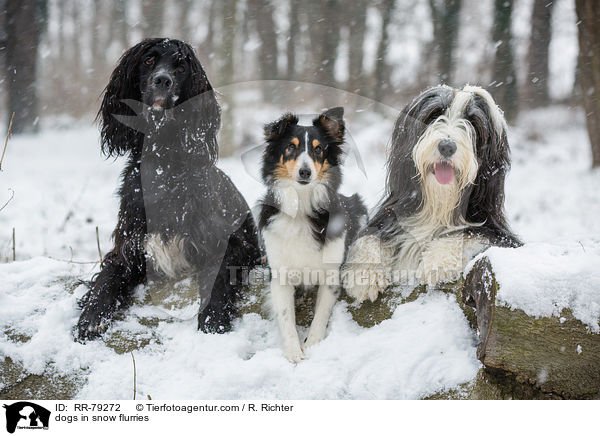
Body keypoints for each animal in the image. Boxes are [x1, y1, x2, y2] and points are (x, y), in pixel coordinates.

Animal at [76, 37, 262, 338]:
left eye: (182, 67)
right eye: (149, 60)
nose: (163, 80)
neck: (163, 162)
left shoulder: (228, 243)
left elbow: (219, 277)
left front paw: (213, 318)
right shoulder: (129, 248)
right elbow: (108, 277)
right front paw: (92, 316)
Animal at [342, 85, 520, 304]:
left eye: (473, 123)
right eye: (435, 114)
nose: (447, 146)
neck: (437, 206)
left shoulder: (503, 236)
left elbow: (472, 232)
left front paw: (438, 261)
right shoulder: (389, 216)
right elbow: (369, 237)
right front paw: (364, 274)